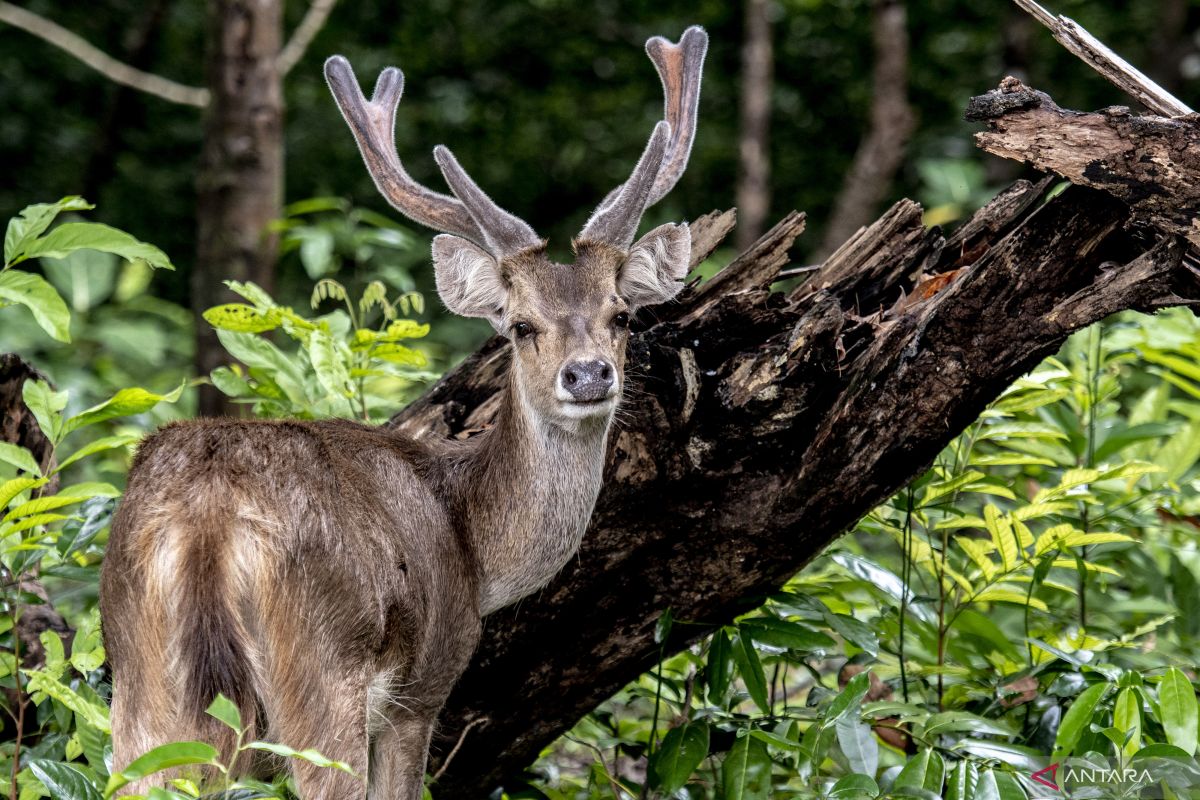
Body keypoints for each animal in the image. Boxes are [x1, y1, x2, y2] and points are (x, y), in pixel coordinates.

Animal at [103, 25, 705, 800]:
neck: (476, 549)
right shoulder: (423, 688)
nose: (588, 374)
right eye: (520, 326)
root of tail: (208, 515)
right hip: (323, 670)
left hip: (139, 677)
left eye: (622, 314)